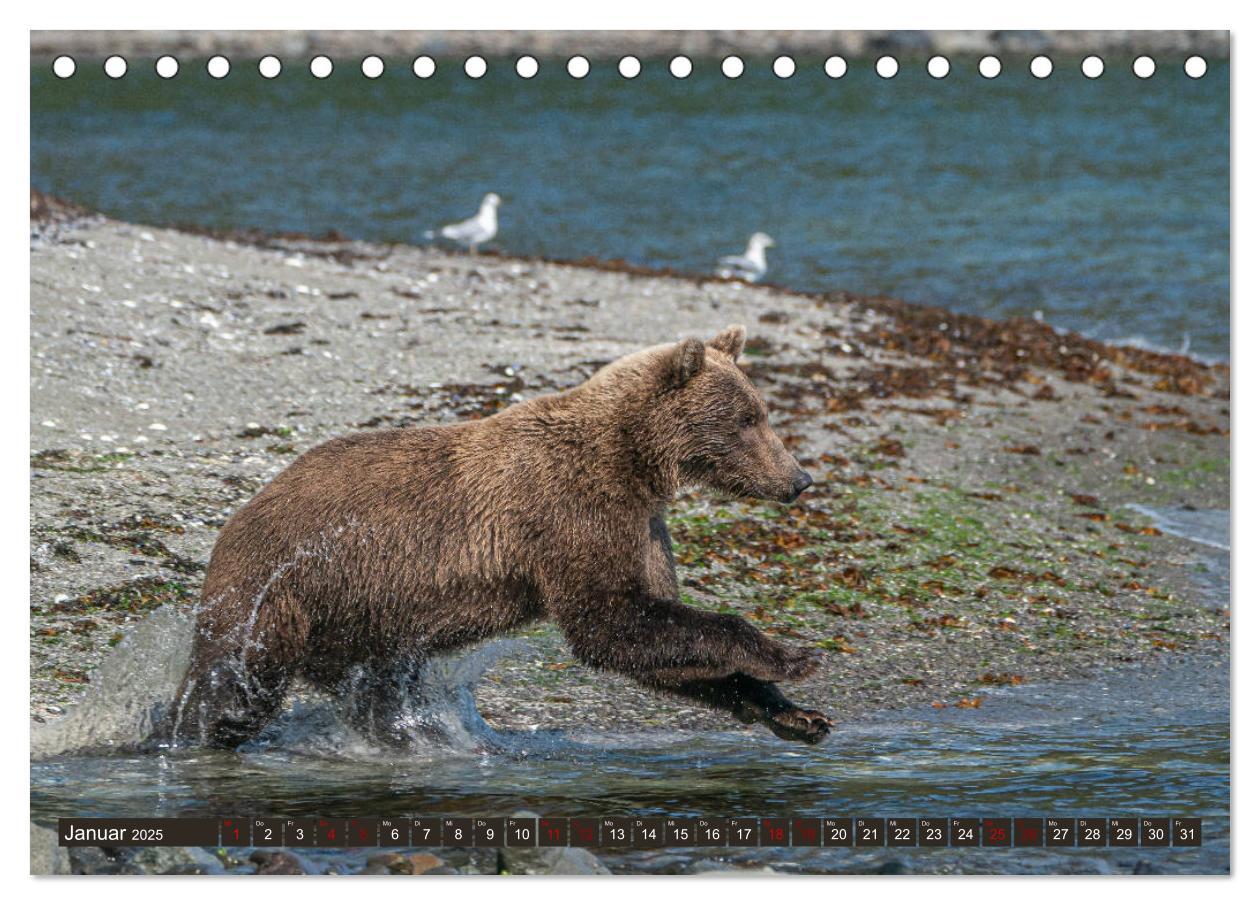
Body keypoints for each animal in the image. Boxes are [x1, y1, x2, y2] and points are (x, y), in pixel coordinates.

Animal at [170, 325, 836, 751]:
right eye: (749, 420)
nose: (799, 479)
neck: (635, 462)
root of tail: (234, 520)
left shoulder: (641, 528)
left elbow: (658, 641)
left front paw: (795, 713)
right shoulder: (570, 513)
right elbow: (612, 624)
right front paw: (794, 655)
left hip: (356, 621)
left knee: (374, 689)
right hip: (286, 591)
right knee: (235, 687)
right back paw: (191, 733)